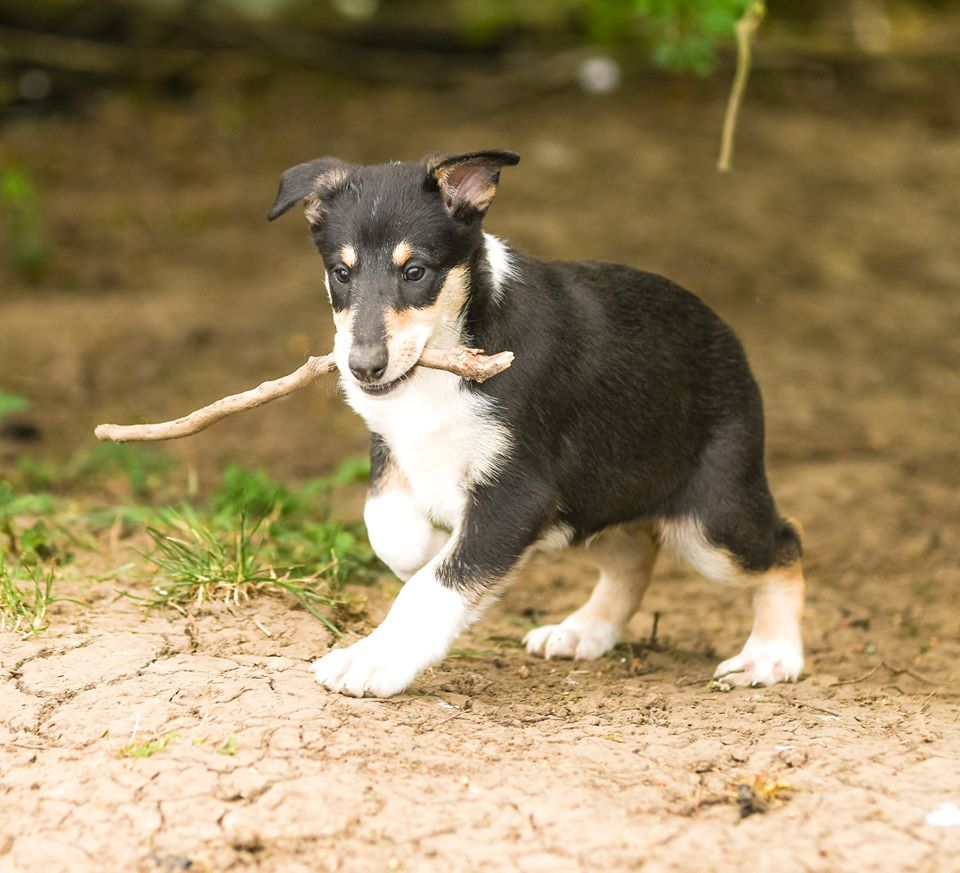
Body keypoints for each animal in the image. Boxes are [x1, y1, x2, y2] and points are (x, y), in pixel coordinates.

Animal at [266, 148, 808, 696]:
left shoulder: (518, 494)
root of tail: (731, 342)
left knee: (784, 547)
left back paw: (769, 656)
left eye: (415, 271)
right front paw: (427, 545)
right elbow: (387, 525)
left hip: (709, 520)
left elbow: (434, 586)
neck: (452, 349)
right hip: (593, 499)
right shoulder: (394, 442)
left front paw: (373, 661)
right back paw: (584, 631)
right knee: (635, 552)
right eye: (342, 273)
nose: (363, 368)